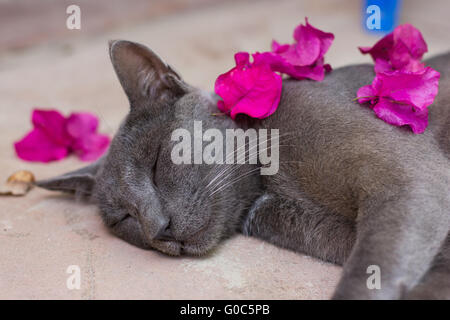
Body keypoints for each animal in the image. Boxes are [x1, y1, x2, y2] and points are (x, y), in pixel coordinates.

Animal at [36, 40, 450, 300]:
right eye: (124, 218)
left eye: (155, 162)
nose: (158, 229)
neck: (270, 188)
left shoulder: (407, 177)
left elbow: (369, 271)